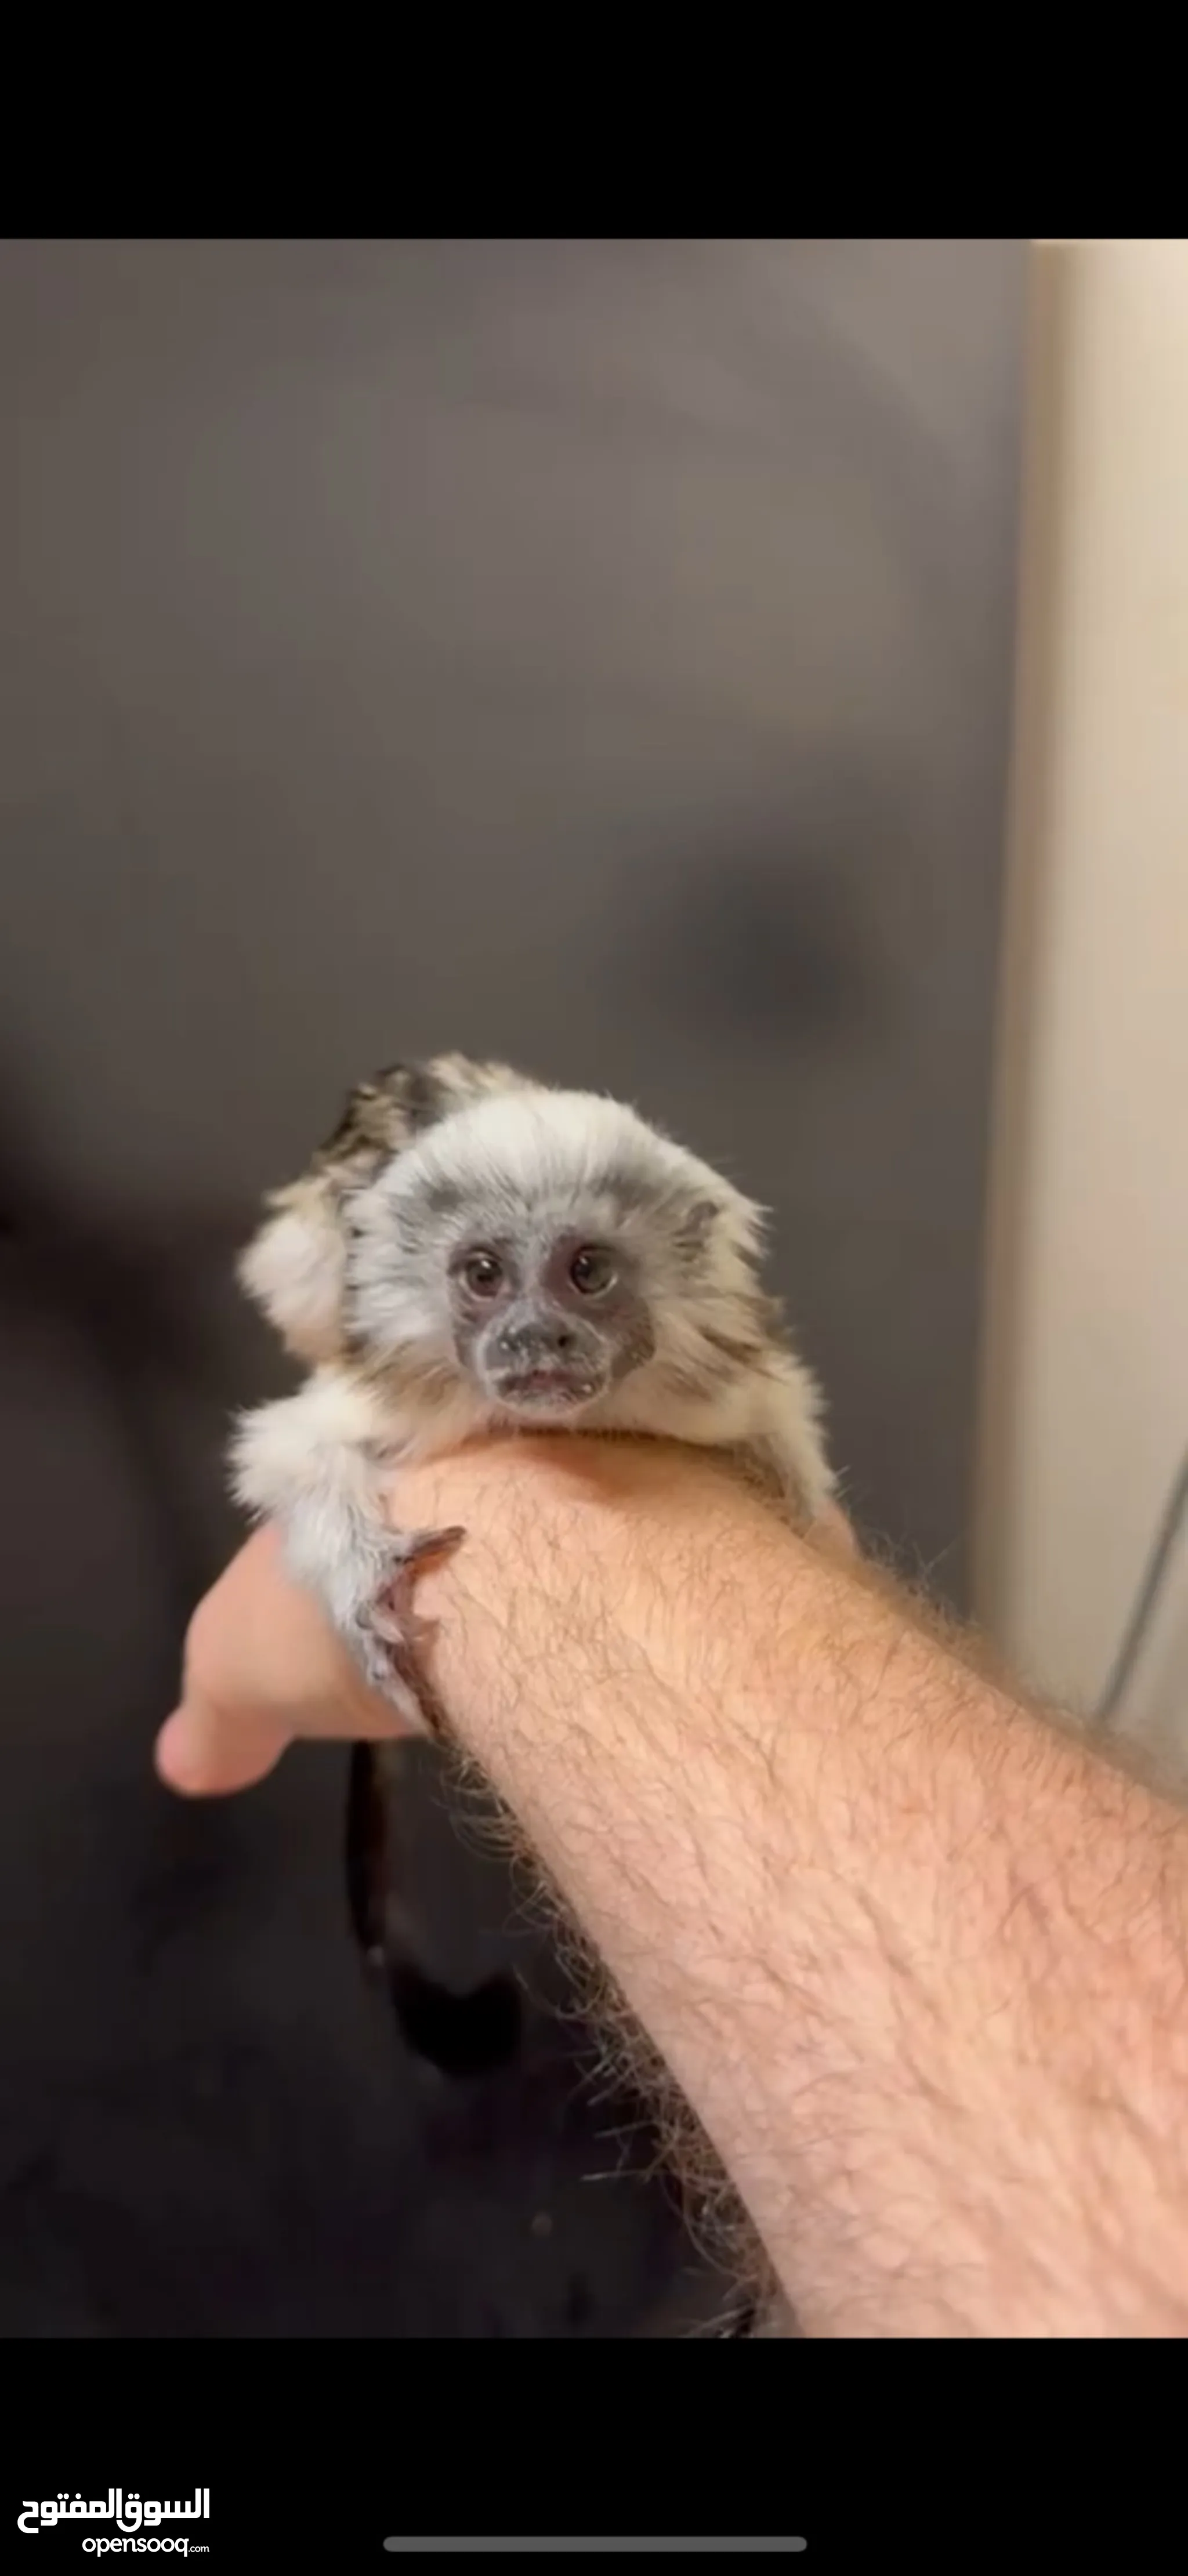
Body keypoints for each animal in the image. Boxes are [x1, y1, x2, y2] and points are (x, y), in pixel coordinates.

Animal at [232, 1053, 837, 2332]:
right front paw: (364, 1592)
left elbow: (779, 1437)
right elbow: (294, 1455)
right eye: (480, 1275)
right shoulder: (382, 1384)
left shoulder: (731, 1374)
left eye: (585, 1271)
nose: (532, 1337)